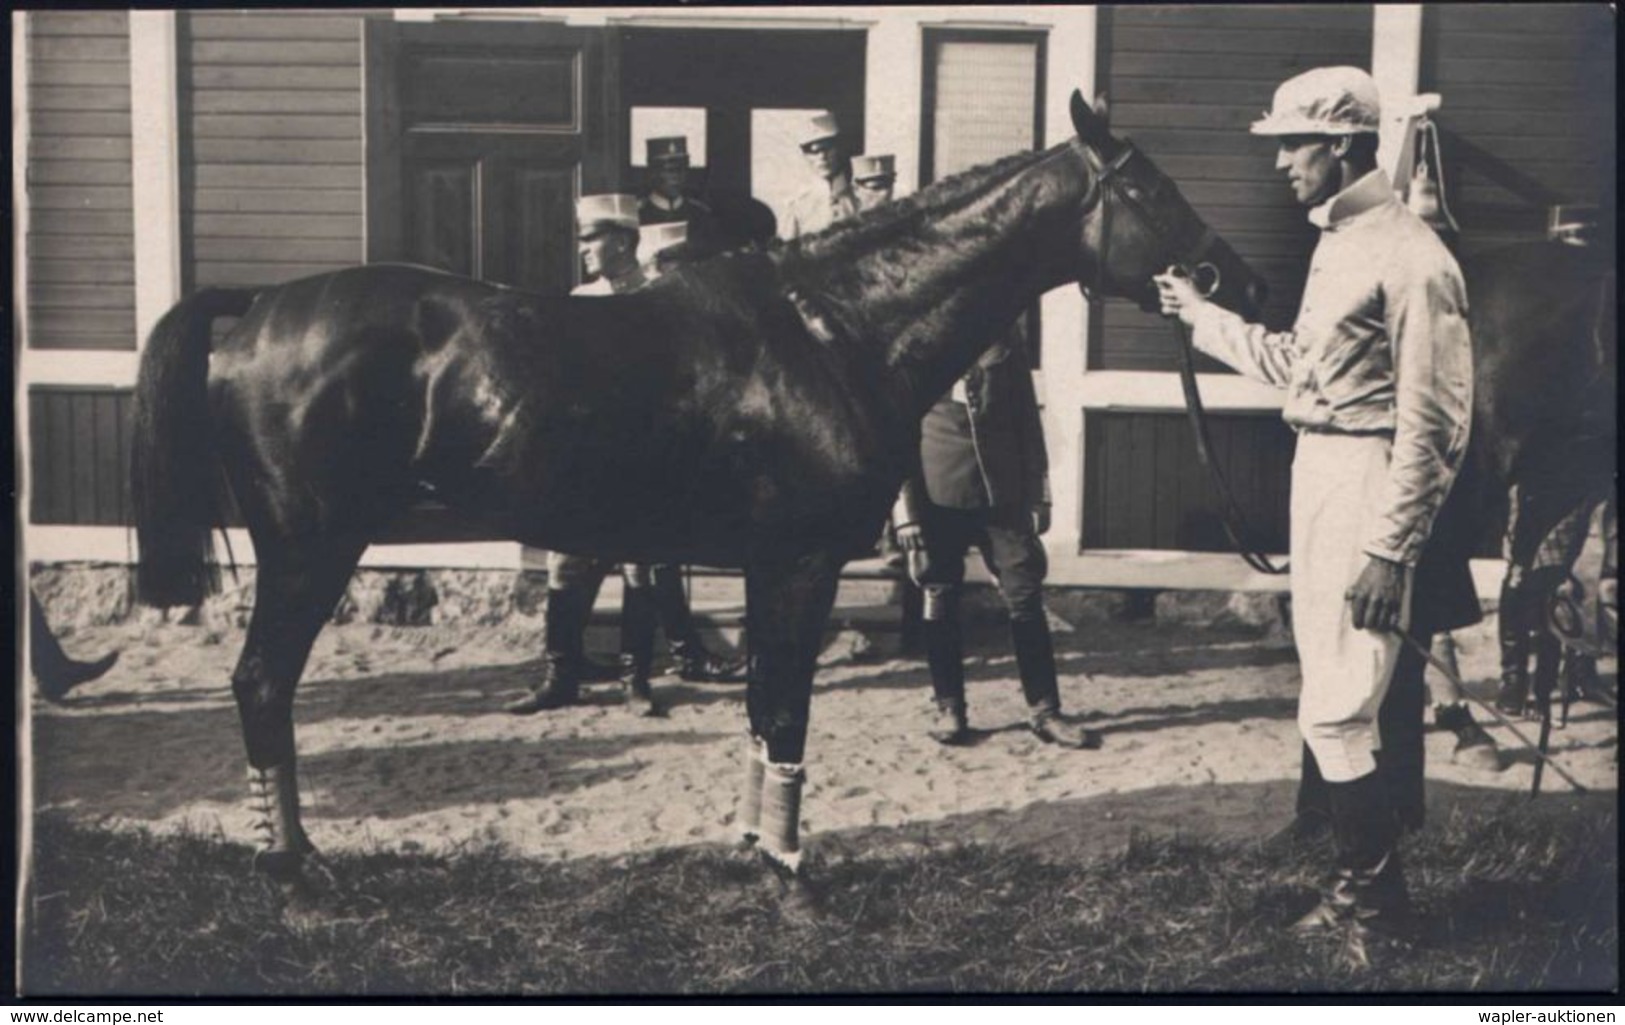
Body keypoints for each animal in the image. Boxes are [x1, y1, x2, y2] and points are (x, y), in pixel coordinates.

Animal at [130, 94, 1267, 883]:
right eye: (1150, 189)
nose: (1242, 282)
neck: (832, 325)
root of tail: (261, 307)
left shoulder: (770, 565)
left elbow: (764, 710)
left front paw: (752, 846)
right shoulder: (803, 563)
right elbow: (789, 710)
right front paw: (790, 873)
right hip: (307, 551)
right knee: (261, 684)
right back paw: (293, 868)